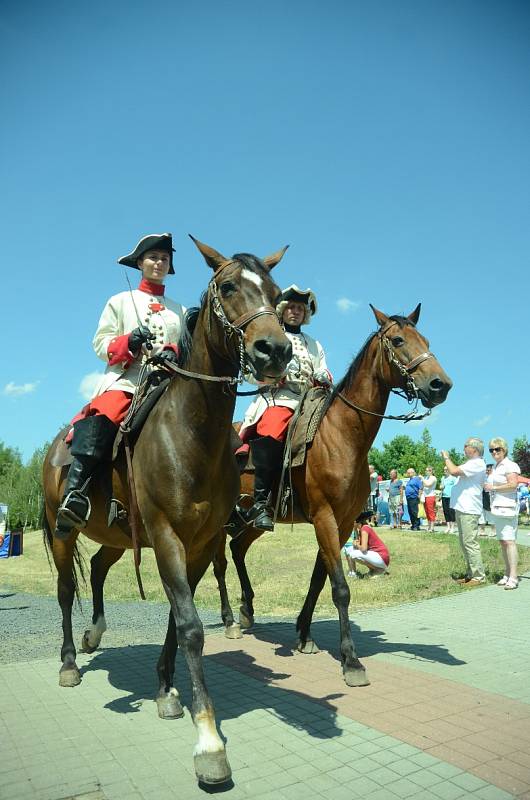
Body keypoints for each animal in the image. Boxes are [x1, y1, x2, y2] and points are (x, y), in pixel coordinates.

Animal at [41, 239, 290, 788]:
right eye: (228, 286)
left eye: (276, 291)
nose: (276, 350)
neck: (193, 433)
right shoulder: (168, 537)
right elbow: (192, 626)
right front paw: (209, 742)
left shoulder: (200, 543)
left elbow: (180, 620)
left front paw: (165, 690)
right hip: (63, 532)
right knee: (67, 591)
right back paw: (69, 661)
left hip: (117, 536)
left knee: (97, 569)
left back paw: (95, 633)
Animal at [210, 306, 450, 688]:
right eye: (399, 340)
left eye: (425, 340)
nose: (440, 384)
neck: (341, 436)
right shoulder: (324, 518)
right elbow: (339, 588)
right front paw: (351, 660)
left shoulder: (342, 523)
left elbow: (318, 580)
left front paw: (304, 634)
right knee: (219, 563)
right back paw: (231, 619)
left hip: (256, 521)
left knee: (237, 549)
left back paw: (247, 610)